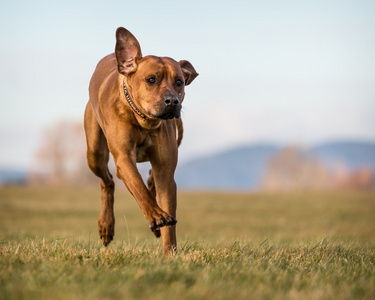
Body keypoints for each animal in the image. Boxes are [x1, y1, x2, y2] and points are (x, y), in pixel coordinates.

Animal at [83, 27, 198, 253]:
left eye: (179, 82)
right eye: (151, 79)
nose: (172, 101)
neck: (144, 121)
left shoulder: (165, 168)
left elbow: (164, 196)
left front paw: (170, 251)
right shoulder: (124, 159)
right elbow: (138, 187)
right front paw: (156, 214)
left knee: (151, 177)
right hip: (94, 153)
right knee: (107, 182)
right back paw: (106, 225)